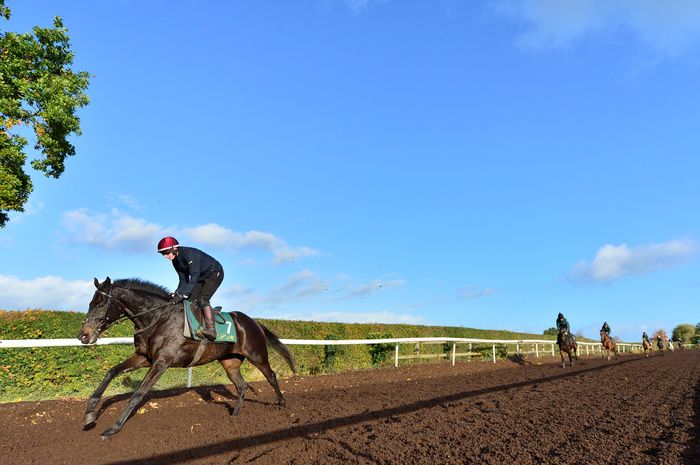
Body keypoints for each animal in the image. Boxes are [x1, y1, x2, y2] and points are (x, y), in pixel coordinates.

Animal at [78, 278, 296, 436]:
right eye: (90, 303)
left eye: (100, 303)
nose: (83, 335)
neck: (157, 318)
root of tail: (254, 322)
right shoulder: (143, 357)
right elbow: (111, 372)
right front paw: (89, 415)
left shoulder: (162, 362)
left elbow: (138, 394)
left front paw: (113, 428)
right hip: (230, 362)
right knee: (241, 386)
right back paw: (234, 415)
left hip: (257, 355)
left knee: (271, 376)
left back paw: (282, 404)